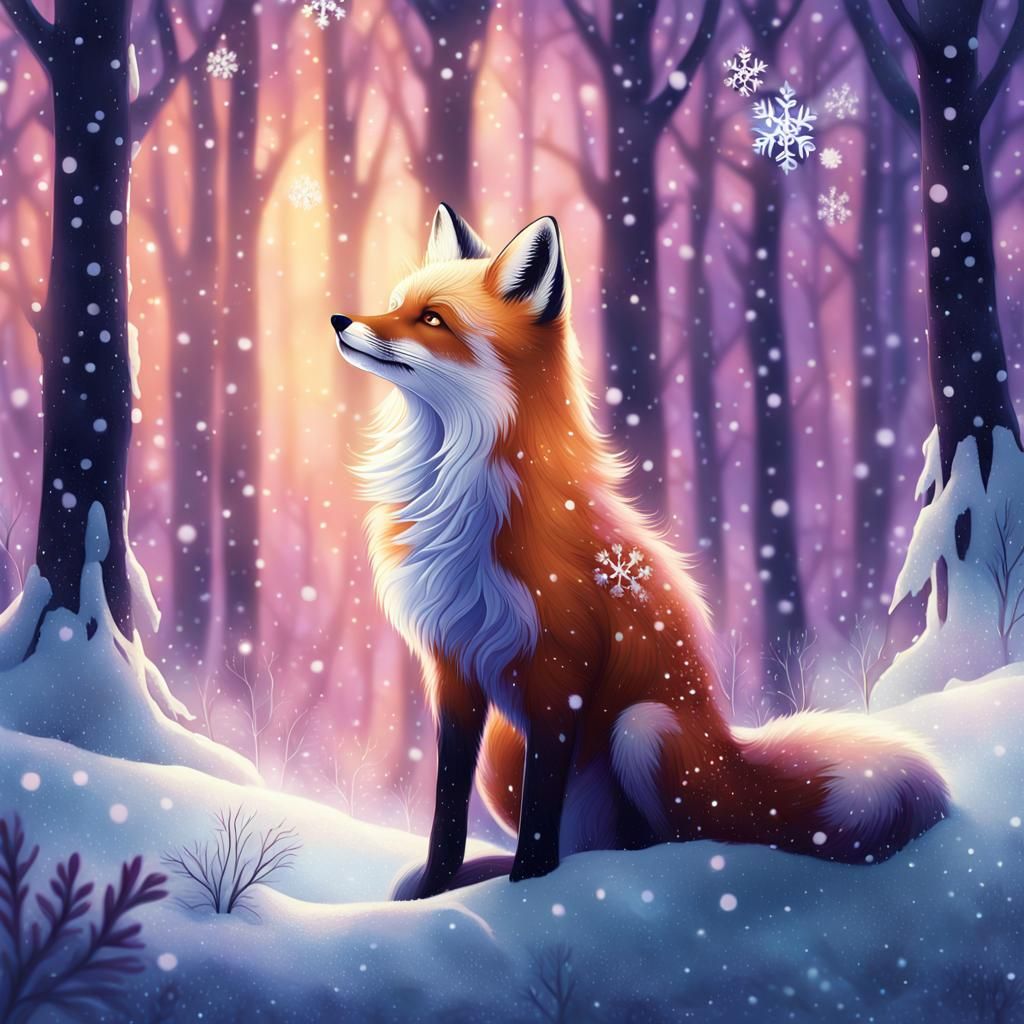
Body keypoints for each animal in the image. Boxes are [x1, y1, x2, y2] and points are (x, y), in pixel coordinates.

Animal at [331, 203, 949, 901]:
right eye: (394, 305)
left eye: (432, 319)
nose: (339, 320)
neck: (460, 491)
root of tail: (732, 756)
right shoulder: (454, 670)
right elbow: (447, 808)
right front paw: (436, 891)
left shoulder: (558, 670)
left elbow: (540, 814)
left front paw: (530, 893)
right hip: (510, 752)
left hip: (643, 729)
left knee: (676, 841)